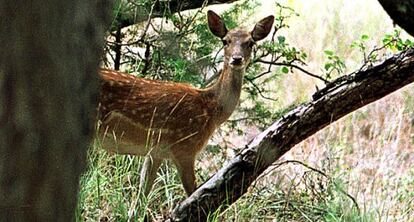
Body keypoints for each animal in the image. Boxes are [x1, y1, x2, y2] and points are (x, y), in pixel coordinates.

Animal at [95, 10, 274, 196]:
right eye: (226, 41)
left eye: (250, 43)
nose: (237, 59)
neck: (211, 110)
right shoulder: (185, 147)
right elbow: (192, 193)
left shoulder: (156, 152)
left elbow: (141, 197)